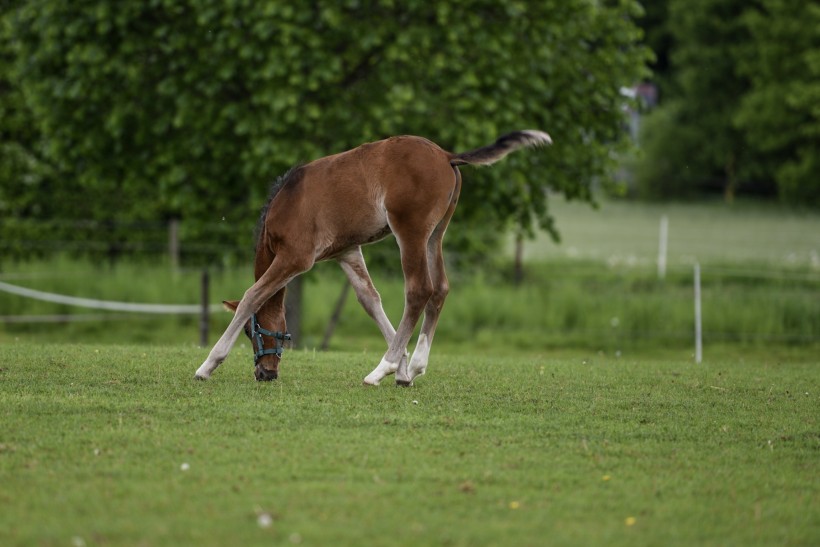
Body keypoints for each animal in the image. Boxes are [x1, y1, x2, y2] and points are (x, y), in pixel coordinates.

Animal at [194, 131, 552, 386]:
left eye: (249, 333)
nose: (265, 374)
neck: (285, 203)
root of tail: (446, 155)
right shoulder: (347, 251)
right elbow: (370, 300)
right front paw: (404, 367)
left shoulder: (296, 257)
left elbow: (252, 296)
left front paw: (208, 364)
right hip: (436, 234)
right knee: (440, 289)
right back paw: (415, 365)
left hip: (410, 231)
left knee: (419, 289)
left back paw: (380, 370)